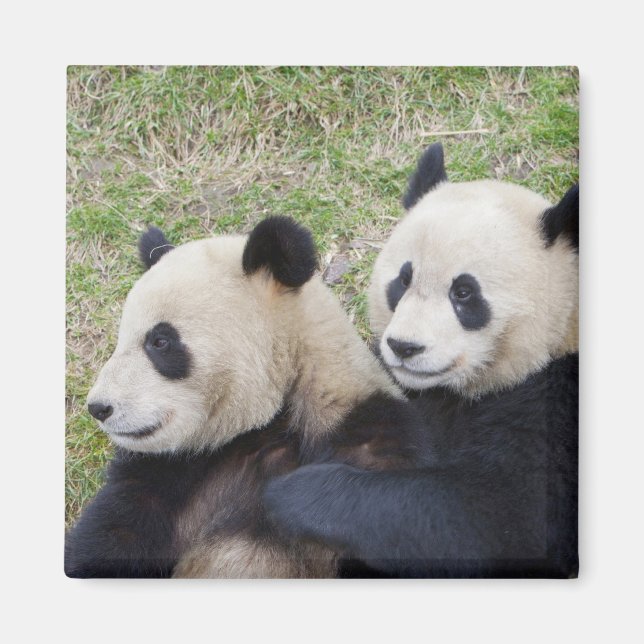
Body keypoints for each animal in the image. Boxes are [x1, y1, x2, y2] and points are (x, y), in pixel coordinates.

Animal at [65, 216, 429, 578]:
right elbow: (112, 538)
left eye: (160, 342)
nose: (99, 407)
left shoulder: (367, 441)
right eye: (121, 339)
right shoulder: (167, 473)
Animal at [263, 143, 579, 578]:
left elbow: (495, 519)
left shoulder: (554, 407)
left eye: (464, 293)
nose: (404, 347)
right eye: (403, 280)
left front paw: (294, 493)